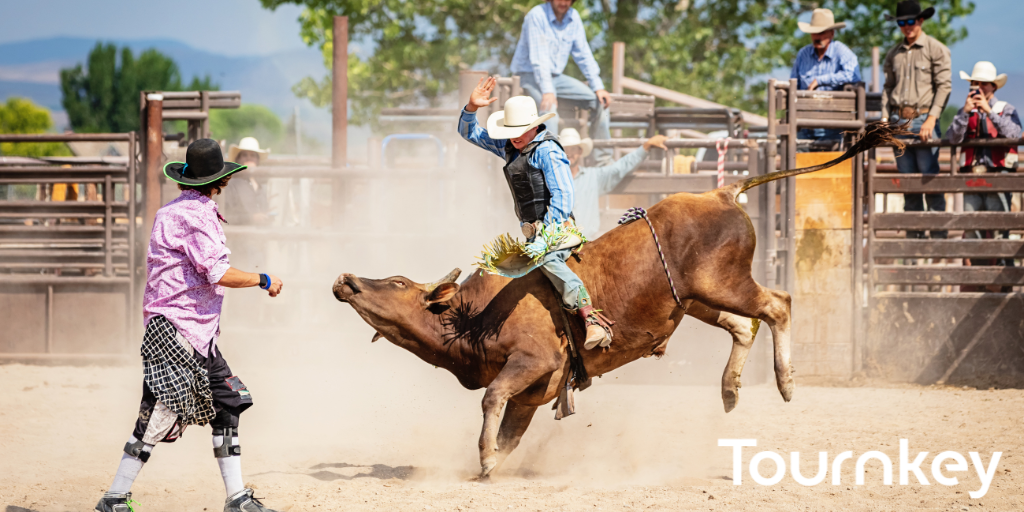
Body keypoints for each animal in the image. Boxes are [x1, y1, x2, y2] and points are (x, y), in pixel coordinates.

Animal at [331, 122, 901, 475]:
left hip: (724, 284)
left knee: (778, 304)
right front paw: (493, 462)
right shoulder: (534, 392)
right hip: (696, 300)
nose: (347, 280)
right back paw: (729, 390)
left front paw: (486, 459)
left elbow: (491, 398)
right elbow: (511, 430)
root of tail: (721, 191)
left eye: (399, 283)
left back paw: (784, 382)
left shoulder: (531, 361)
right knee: (744, 325)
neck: (474, 316)